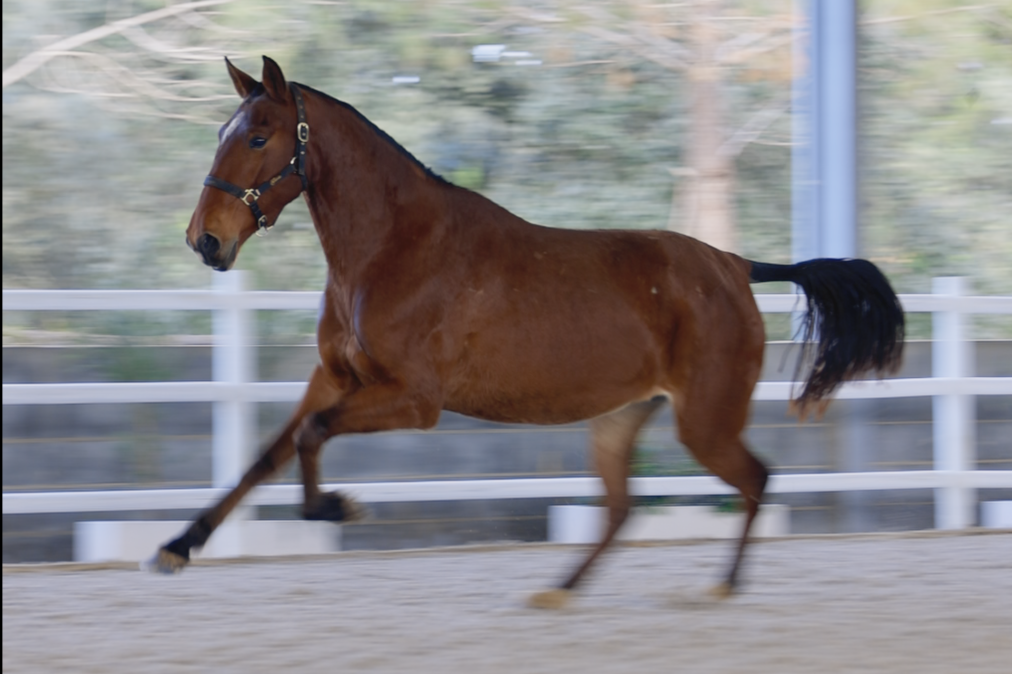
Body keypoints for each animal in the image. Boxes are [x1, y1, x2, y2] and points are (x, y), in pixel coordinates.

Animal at [151, 55, 910, 607]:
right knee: (622, 509)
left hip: (706, 420)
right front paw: (177, 547)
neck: (393, 249)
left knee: (755, 479)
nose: (205, 241)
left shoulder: (413, 400)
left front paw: (336, 509)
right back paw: (559, 591)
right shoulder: (335, 378)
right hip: (622, 417)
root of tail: (733, 264)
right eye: (222, 133)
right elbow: (267, 455)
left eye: (258, 136)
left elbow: (309, 437)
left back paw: (722, 587)